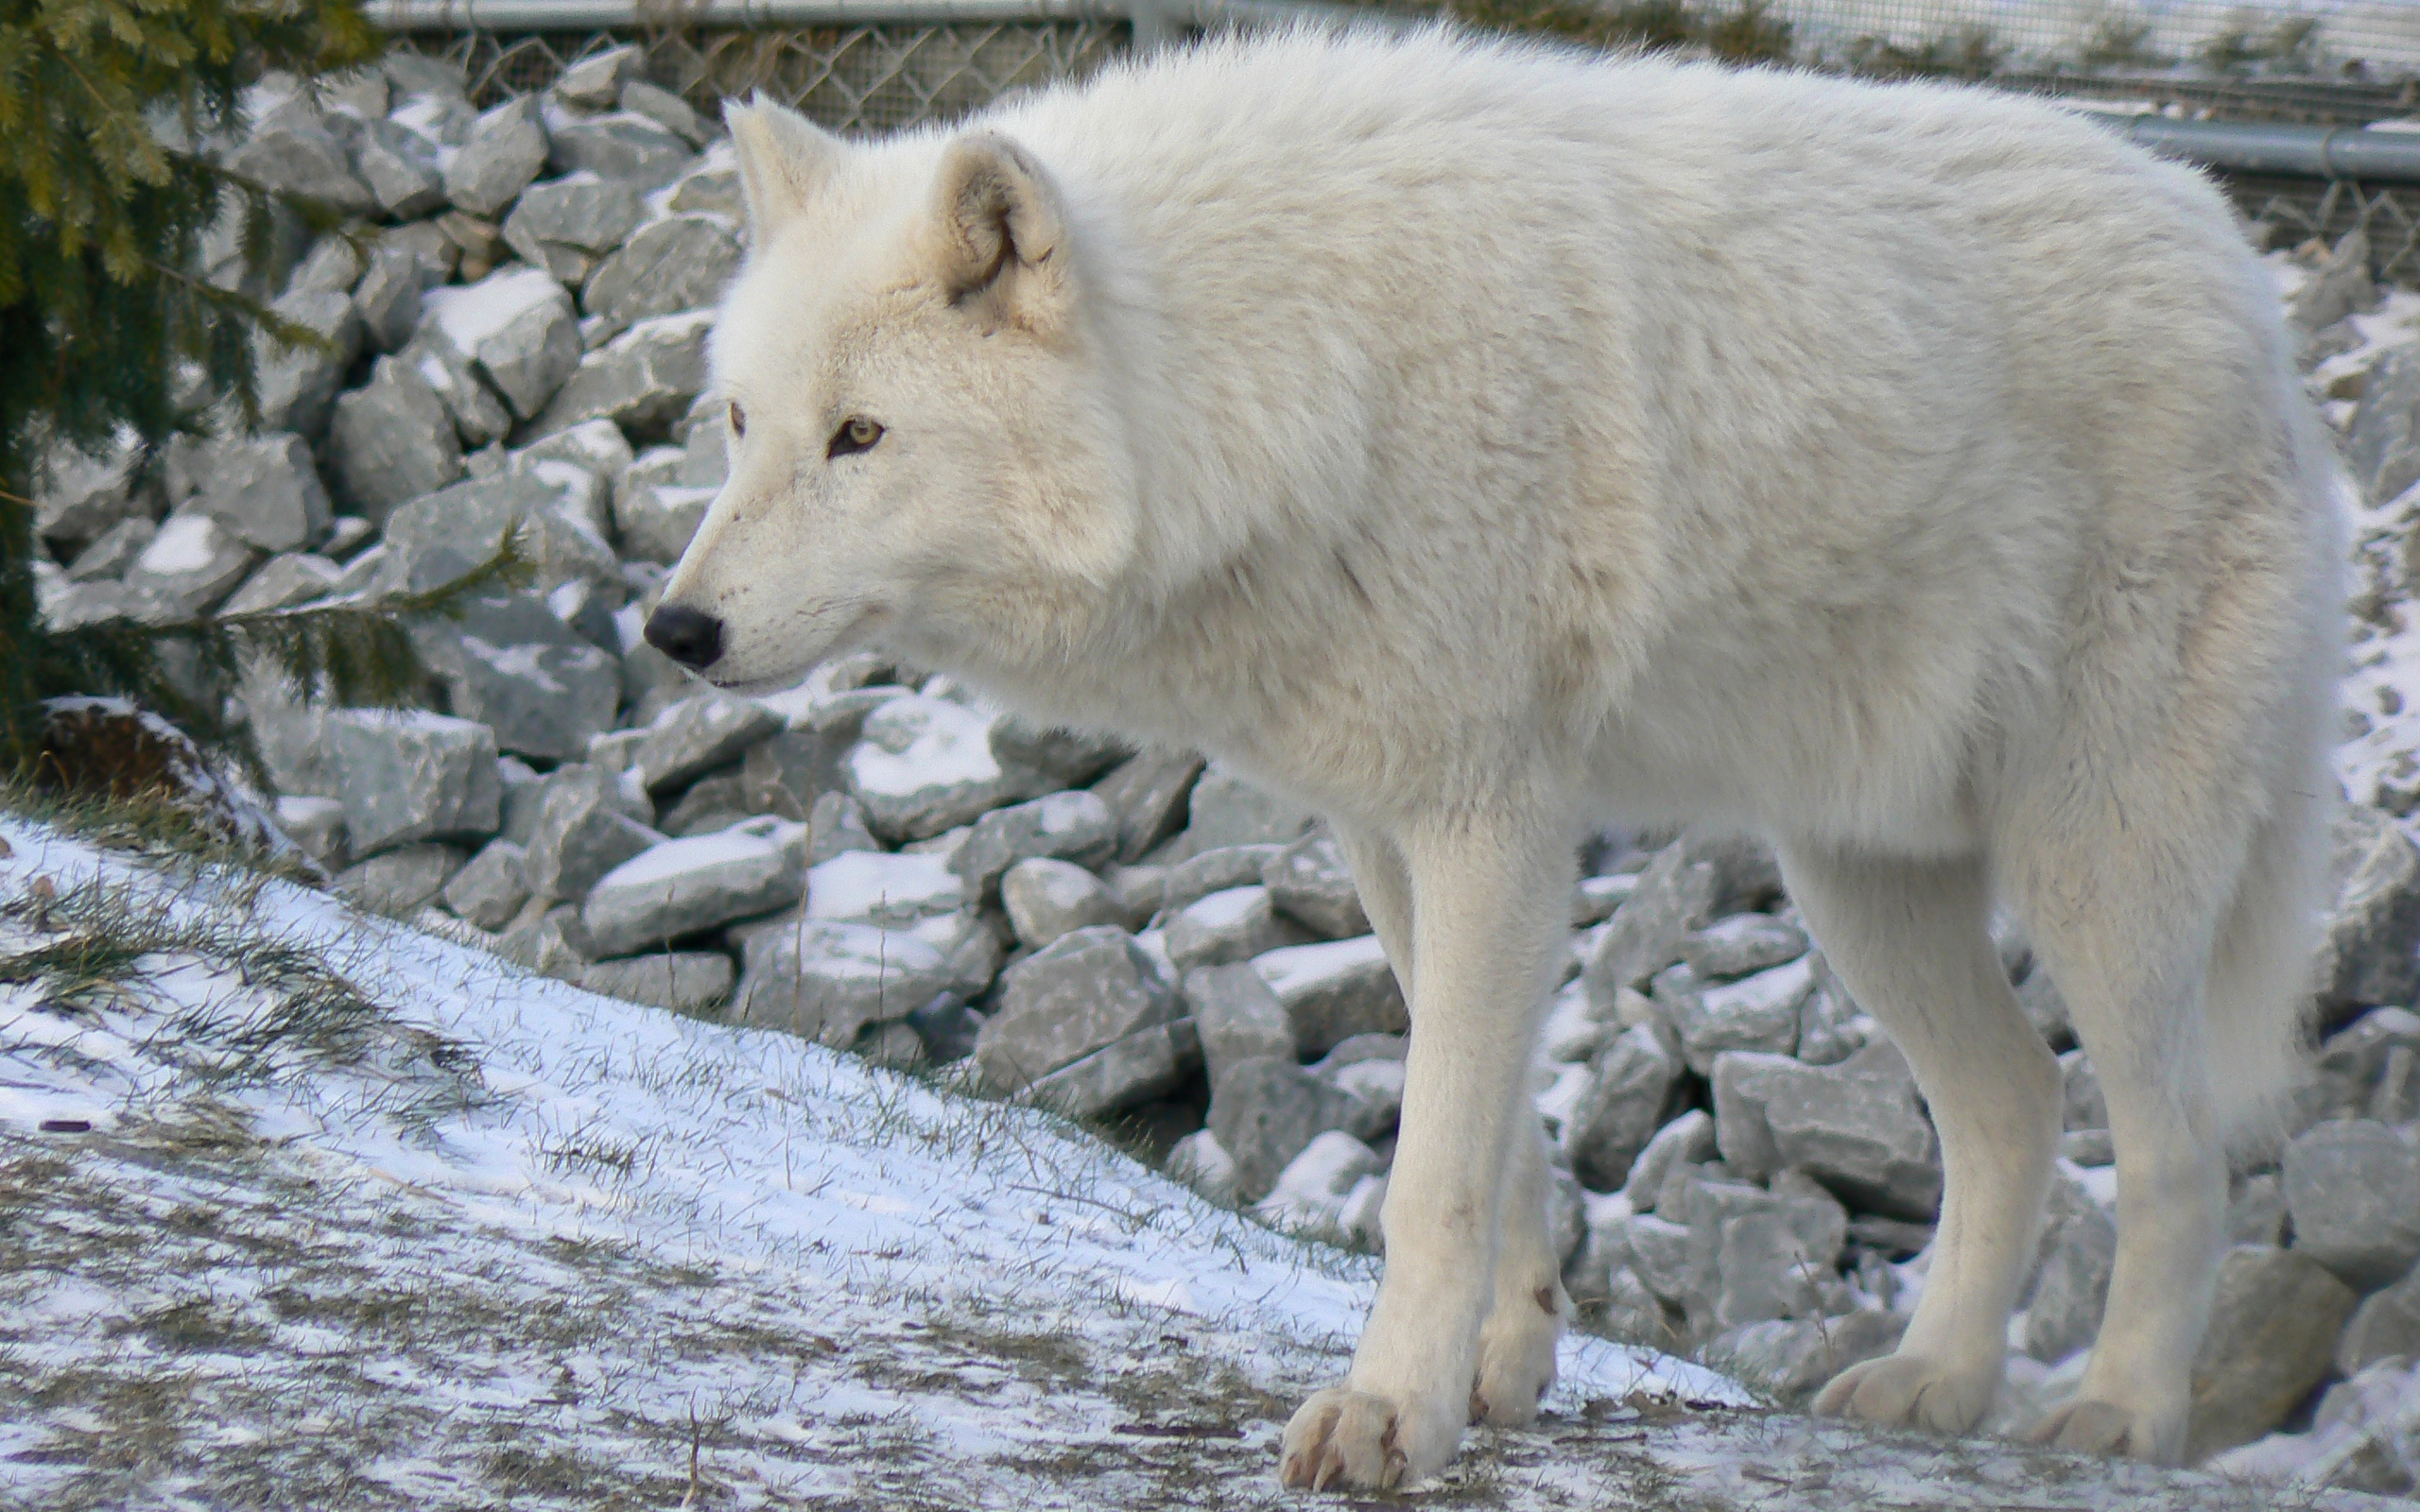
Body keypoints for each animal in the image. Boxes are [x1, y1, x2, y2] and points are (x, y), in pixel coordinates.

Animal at [643, 23, 2342, 1489]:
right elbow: (1501, 1145)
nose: (675, 629)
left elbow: (1429, 1174)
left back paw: (2121, 1413)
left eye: (861, 438)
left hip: (2095, 874)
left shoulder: (1493, 824)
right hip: (1865, 885)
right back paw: (1935, 1383)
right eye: (739, 423)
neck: (1284, 365)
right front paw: (1491, 1371)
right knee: (2014, 1113)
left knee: (2179, 1152)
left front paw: (1388, 1416)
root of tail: (2246, 275)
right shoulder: (1396, 835)